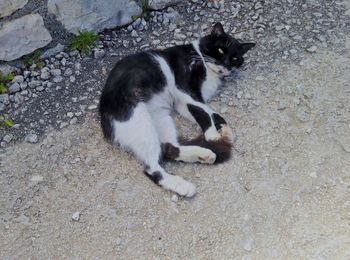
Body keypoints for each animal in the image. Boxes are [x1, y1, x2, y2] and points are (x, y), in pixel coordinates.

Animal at [98, 22, 254, 197]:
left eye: (235, 58)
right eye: (220, 50)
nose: (226, 64)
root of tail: (103, 114)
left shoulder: (182, 103)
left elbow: (211, 112)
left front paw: (226, 131)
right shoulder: (185, 88)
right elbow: (203, 112)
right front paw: (212, 135)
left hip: (161, 119)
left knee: (169, 148)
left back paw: (203, 155)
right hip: (139, 121)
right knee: (152, 168)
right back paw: (183, 186)